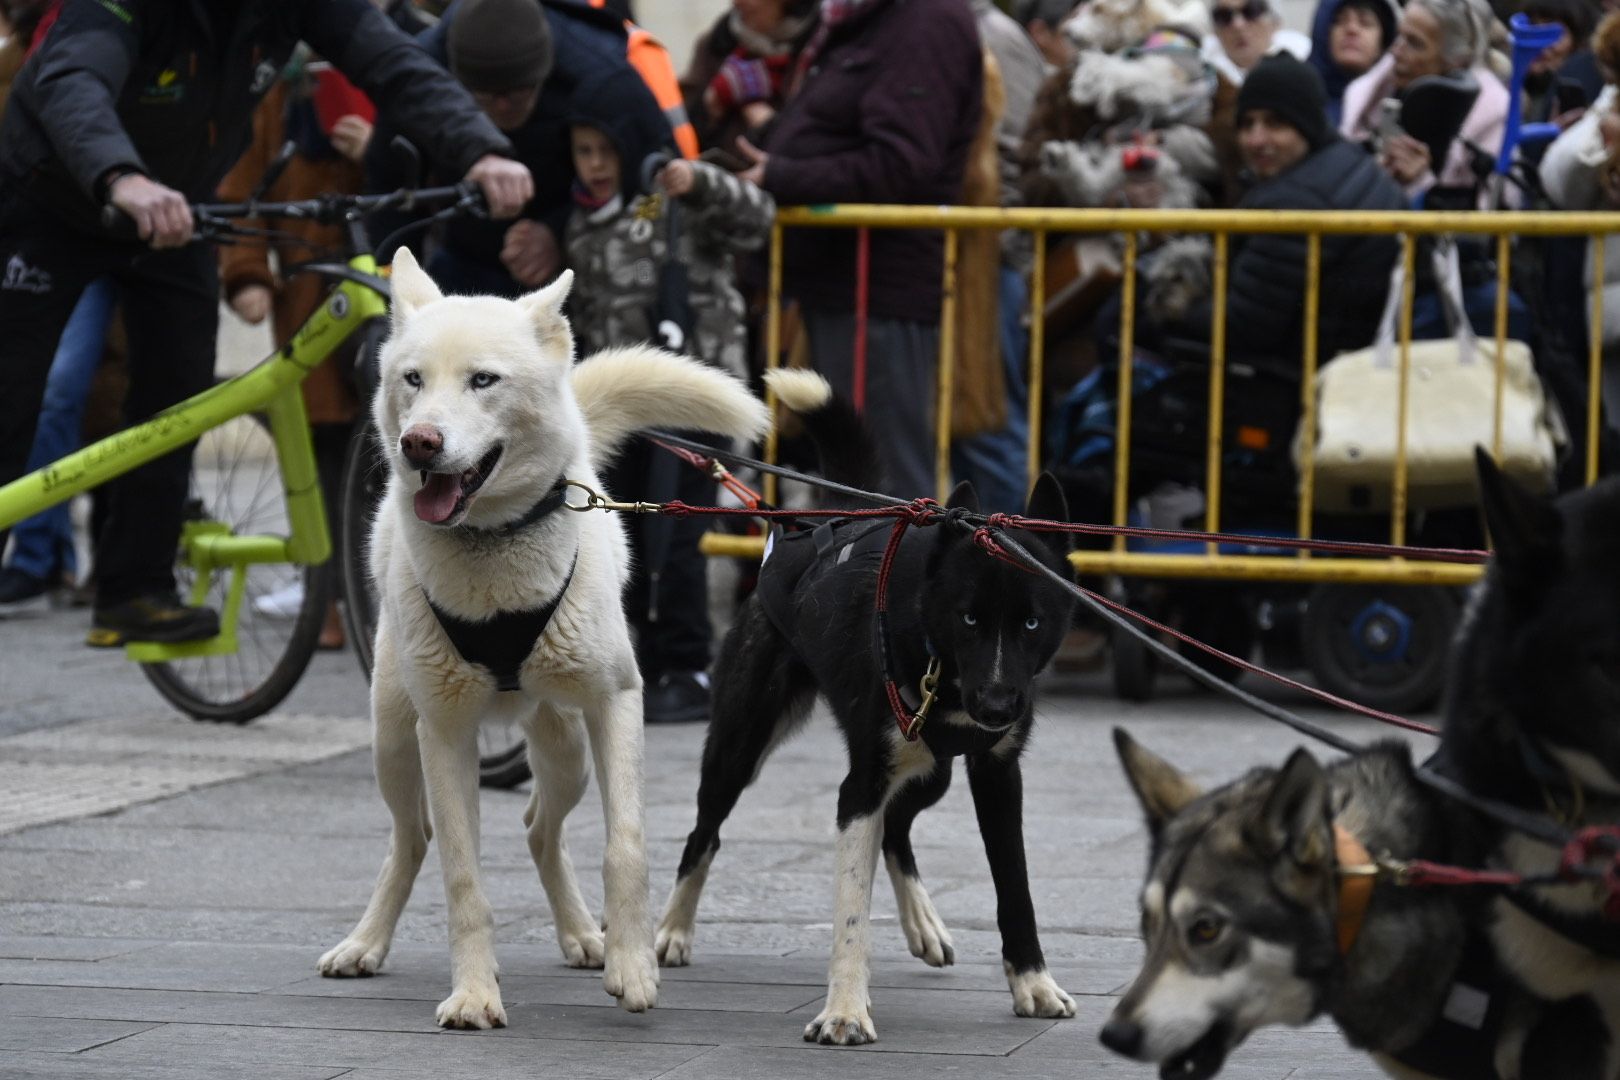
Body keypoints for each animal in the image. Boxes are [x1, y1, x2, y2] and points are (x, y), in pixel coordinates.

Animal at [651, 374, 1082, 1049]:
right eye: (969, 618)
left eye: (1032, 622)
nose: (996, 706)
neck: (938, 663)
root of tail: (822, 519)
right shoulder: (860, 786)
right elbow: (851, 908)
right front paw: (845, 1011)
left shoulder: (997, 774)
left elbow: (1015, 888)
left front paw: (1033, 985)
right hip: (741, 743)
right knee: (706, 832)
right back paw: (673, 929)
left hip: (931, 772)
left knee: (899, 826)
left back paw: (923, 924)